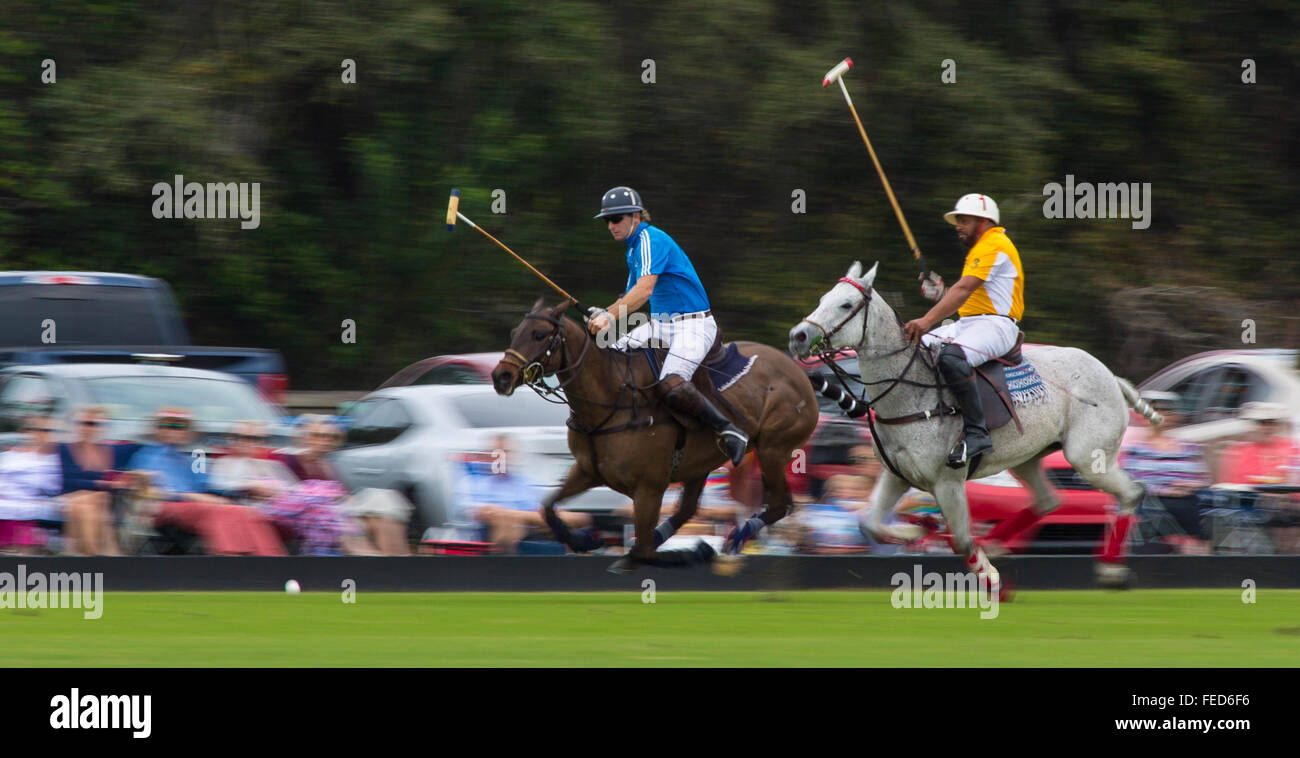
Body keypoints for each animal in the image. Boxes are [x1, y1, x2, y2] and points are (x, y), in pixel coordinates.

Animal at [491, 299, 816, 566]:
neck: (610, 400)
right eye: (514, 332)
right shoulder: (587, 470)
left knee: (779, 505)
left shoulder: (650, 486)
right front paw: (583, 540)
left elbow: (645, 553)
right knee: (690, 510)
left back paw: (734, 535)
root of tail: (799, 370)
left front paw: (694, 552)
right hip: (701, 465)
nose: (500, 376)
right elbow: (547, 507)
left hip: (773, 448)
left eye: (538, 334)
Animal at [785, 263, 1164, 590]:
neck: (907, 395)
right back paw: (995, 544)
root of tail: (1113, 377)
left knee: (1132, 493)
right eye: (823, 299)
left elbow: (962, 540)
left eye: (845, 304)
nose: (798, 336)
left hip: (1088, 457)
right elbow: (871, 525)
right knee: (1048, 500)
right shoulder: (896, 475)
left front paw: (990, 578)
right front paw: (918, 531)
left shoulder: (948, 481)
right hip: (1029, 457)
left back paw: (1111, 570)